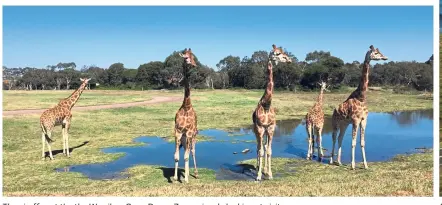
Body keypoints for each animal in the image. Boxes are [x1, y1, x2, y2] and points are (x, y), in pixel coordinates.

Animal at [252, 43, 294, 181]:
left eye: (283, 52)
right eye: (277, 53)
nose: (289, 59)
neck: (266, 104)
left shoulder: (271, 128)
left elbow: (269, 150)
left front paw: (269, 174)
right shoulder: (260, 128)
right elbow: (260, 151)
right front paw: (258, 176)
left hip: (266, 131)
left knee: (264, 146)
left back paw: (264, 170)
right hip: (257, 131)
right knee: (258, 147)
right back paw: (258, 168)